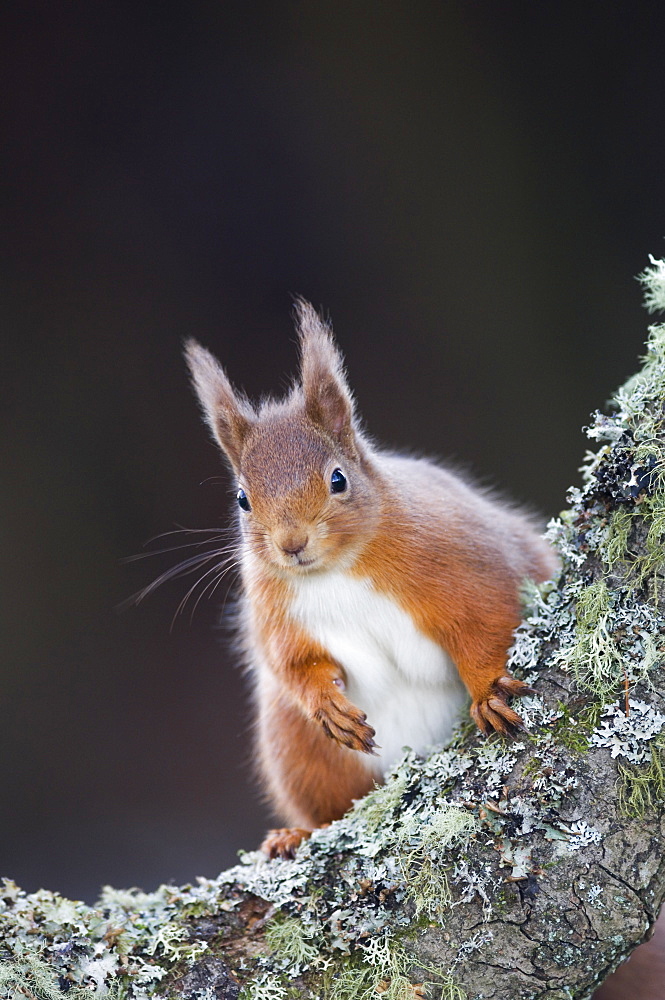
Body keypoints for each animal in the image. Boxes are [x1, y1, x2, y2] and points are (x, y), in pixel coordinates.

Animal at [185, 300, 556, 856]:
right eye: (242, 499)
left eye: (338, 479)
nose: (291, 544)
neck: (336, 571)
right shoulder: (274, 612)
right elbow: (294, 665)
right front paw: (328, 704)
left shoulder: (465, 563)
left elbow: (484, 622)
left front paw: (490, 690)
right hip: (298, 751)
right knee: (329, 809)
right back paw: (295, 834)